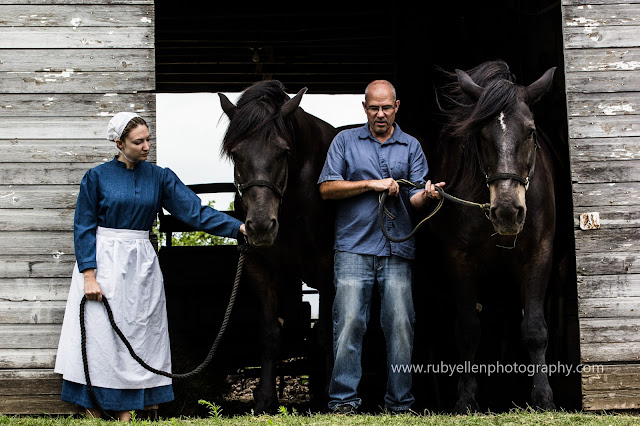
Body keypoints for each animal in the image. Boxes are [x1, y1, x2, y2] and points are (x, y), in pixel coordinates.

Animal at [218, 80, 338, 413]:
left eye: (284, 152)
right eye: (236, 154)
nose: (260, 226)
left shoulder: (328, 270)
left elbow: (324, 334)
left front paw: (325, 399)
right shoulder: (260, 268)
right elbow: (271, 334)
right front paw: (264, 399)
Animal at [427, 60, 558, 412]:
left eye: (530, 131)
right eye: (481, 134)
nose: (508, 212)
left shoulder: (539, 253)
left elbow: (535, 328)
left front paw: (543, 398)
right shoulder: (458, 258)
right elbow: (468, 329)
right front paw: (465, 399)